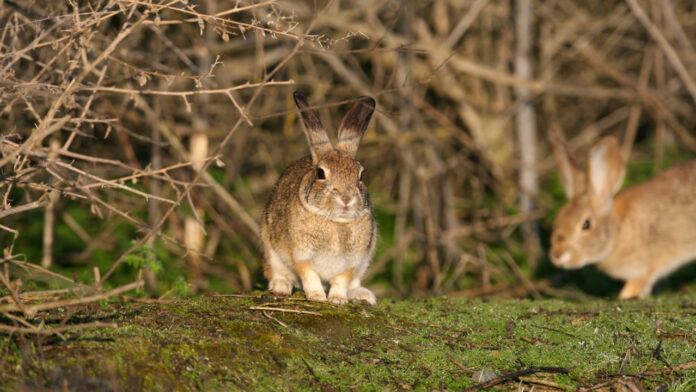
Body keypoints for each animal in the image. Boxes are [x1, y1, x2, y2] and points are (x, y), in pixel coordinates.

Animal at [260, 92, 378, 306]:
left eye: (361, 175)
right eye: (321, 173)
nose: (346, 198)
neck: (335, 222)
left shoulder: (353, 261)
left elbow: (342, 280)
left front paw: (337, 300)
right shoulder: (300, 255)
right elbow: (309, 275)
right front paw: (317, 296)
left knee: (354, 283)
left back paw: (363, 295)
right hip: (270, 248)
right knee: (275, 271)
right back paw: (280, 286)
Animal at [548, 133, 696, 298]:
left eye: (586, 224)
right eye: (558, 217)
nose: (557, 255)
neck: (617, 231)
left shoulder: (645, 265)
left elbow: (636, 285)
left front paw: (625, 296)